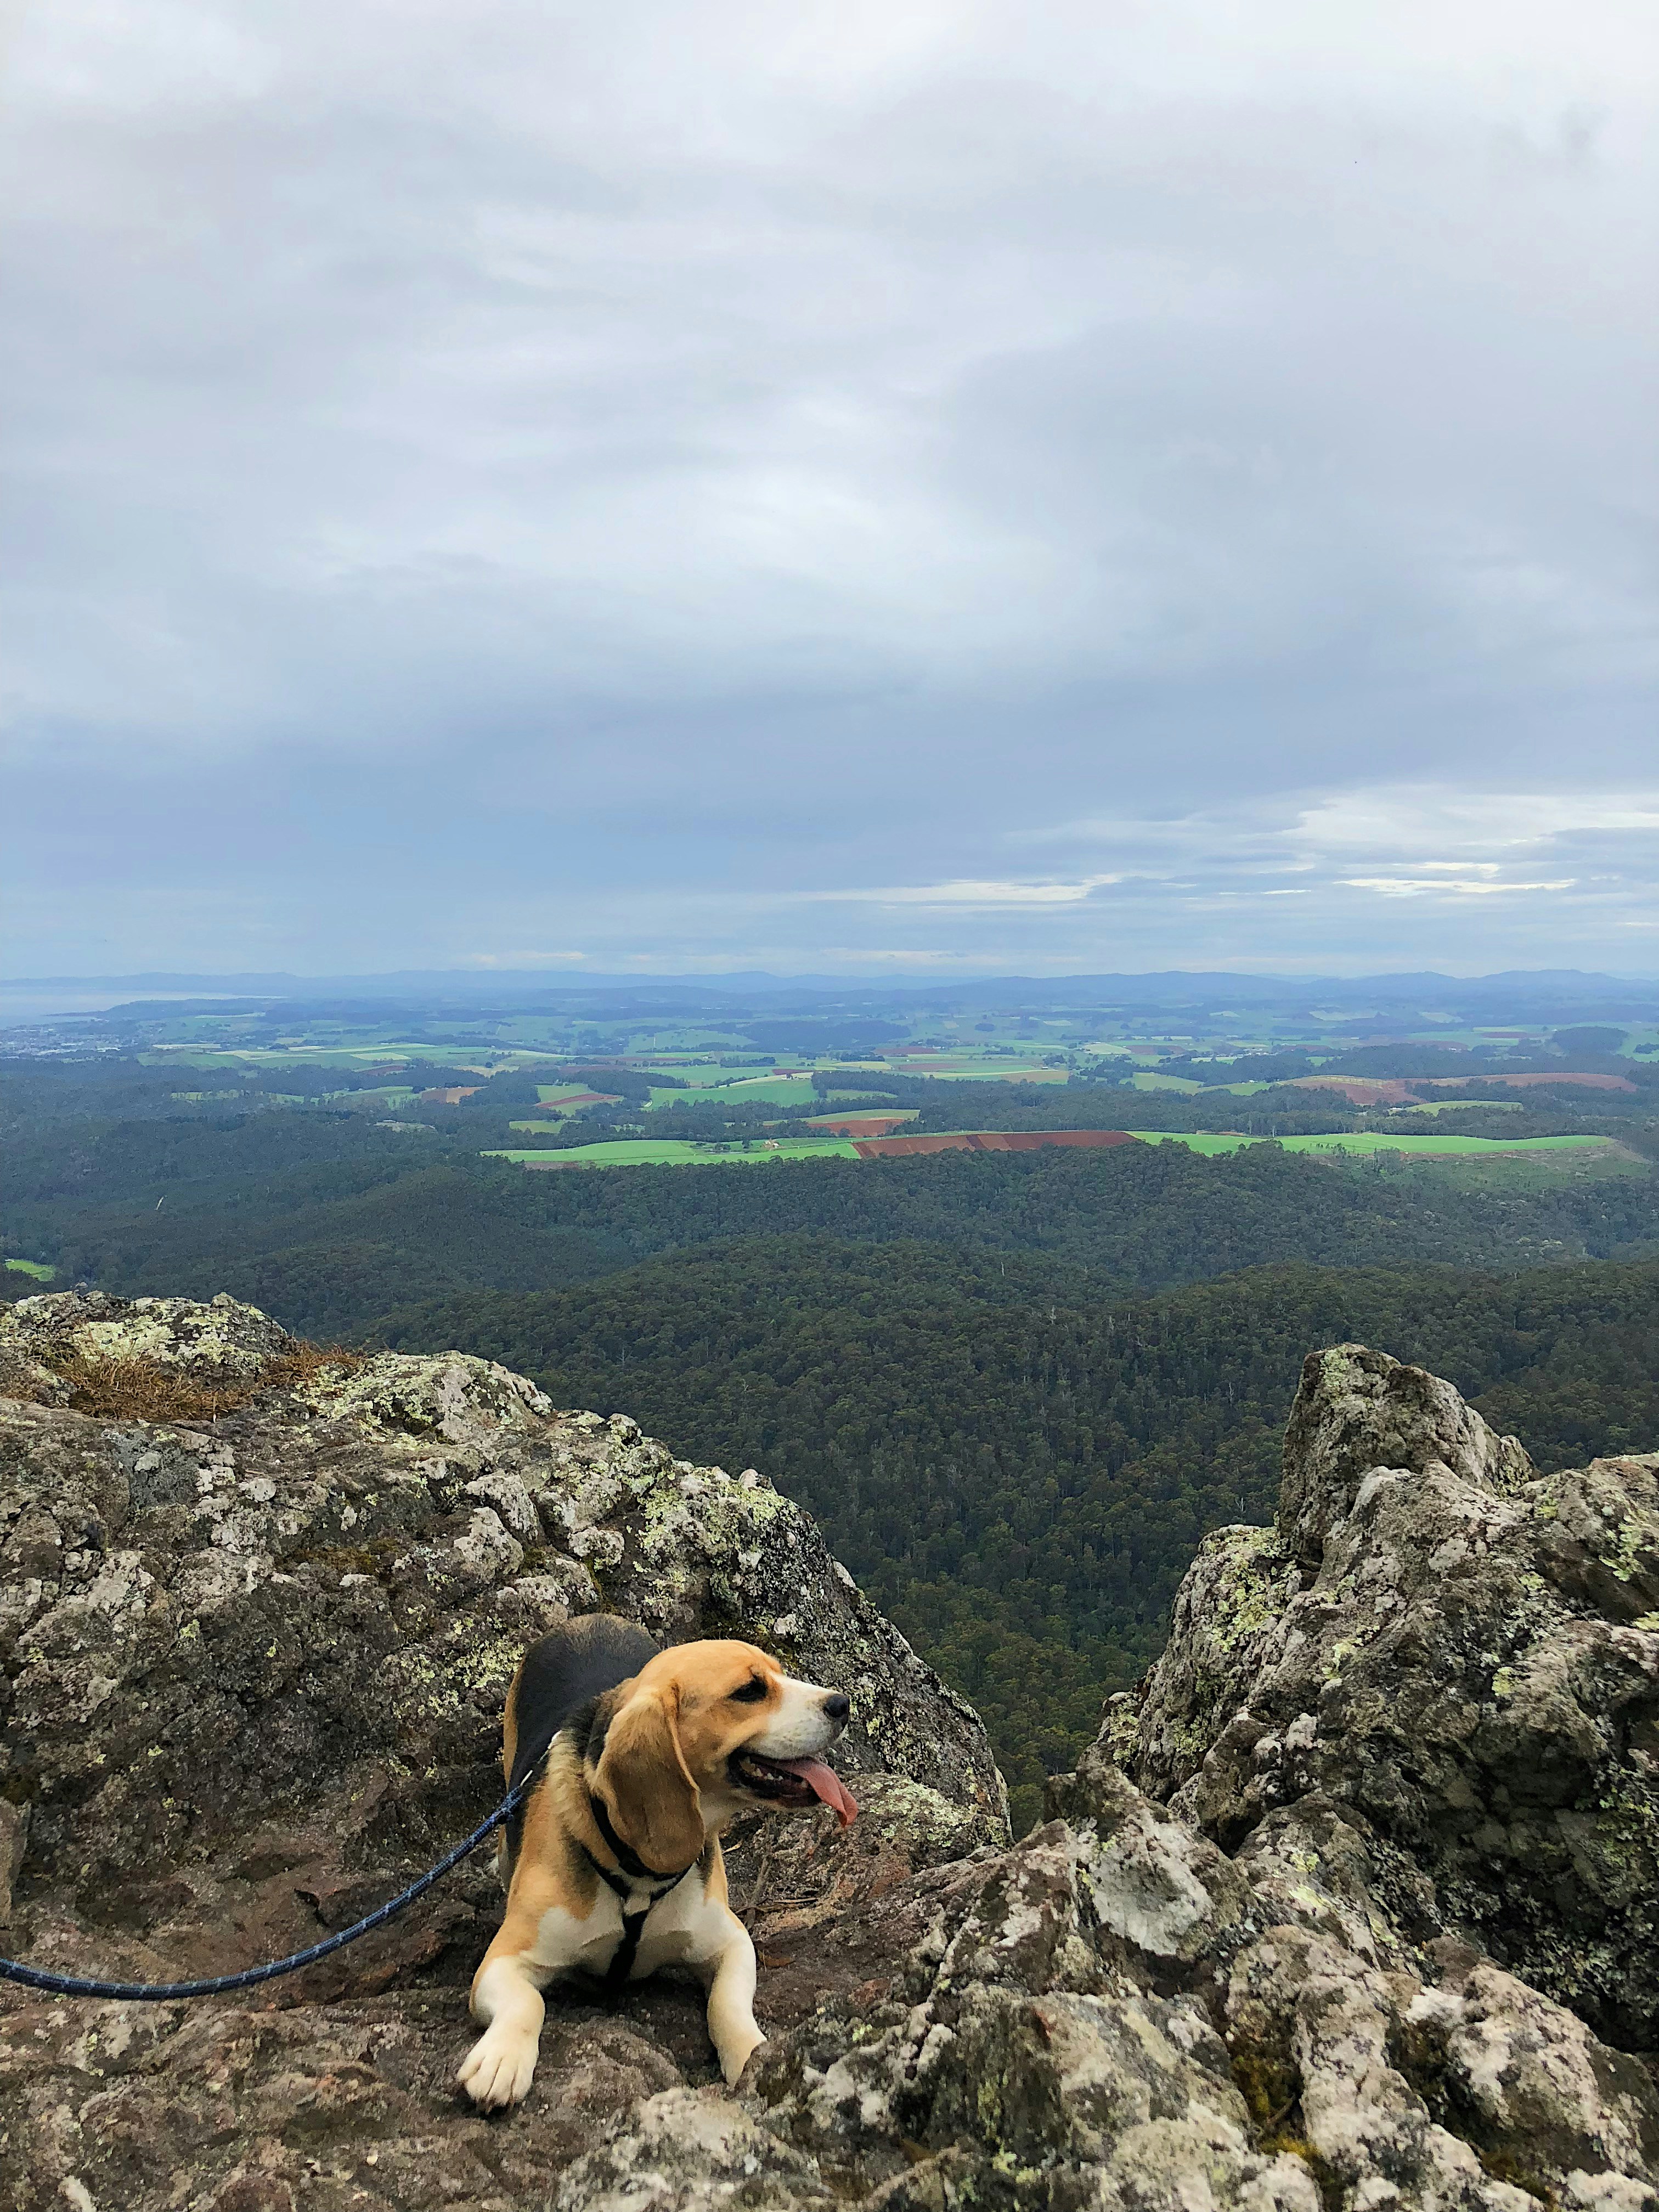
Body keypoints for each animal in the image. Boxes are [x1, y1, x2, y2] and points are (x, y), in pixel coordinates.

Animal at [458, 1616, 857, 2109]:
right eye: (749, 1691)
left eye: (780, 1673)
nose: (843, 1704)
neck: (639, 1876)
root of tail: (588, 1619)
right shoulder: (504, 1960)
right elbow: (528, 2003)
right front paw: (501, 2060)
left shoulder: (732, 1939)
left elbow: (728, 2005)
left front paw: (753, 2056)